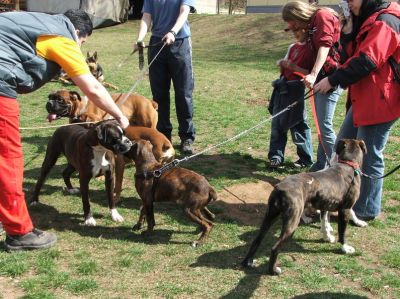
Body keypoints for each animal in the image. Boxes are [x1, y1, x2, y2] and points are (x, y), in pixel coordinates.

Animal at [242, 139, 368, 276]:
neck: (348, 165)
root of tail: (280, 188)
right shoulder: (345, 210)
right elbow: (342, 232)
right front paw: (345, 248)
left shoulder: (325, 205)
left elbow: (324, 222)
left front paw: (327, 236)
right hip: (292, 222)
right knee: (275, 248)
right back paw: (273, 270)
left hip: (270, 216)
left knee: (257, 239)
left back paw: (248, 261)